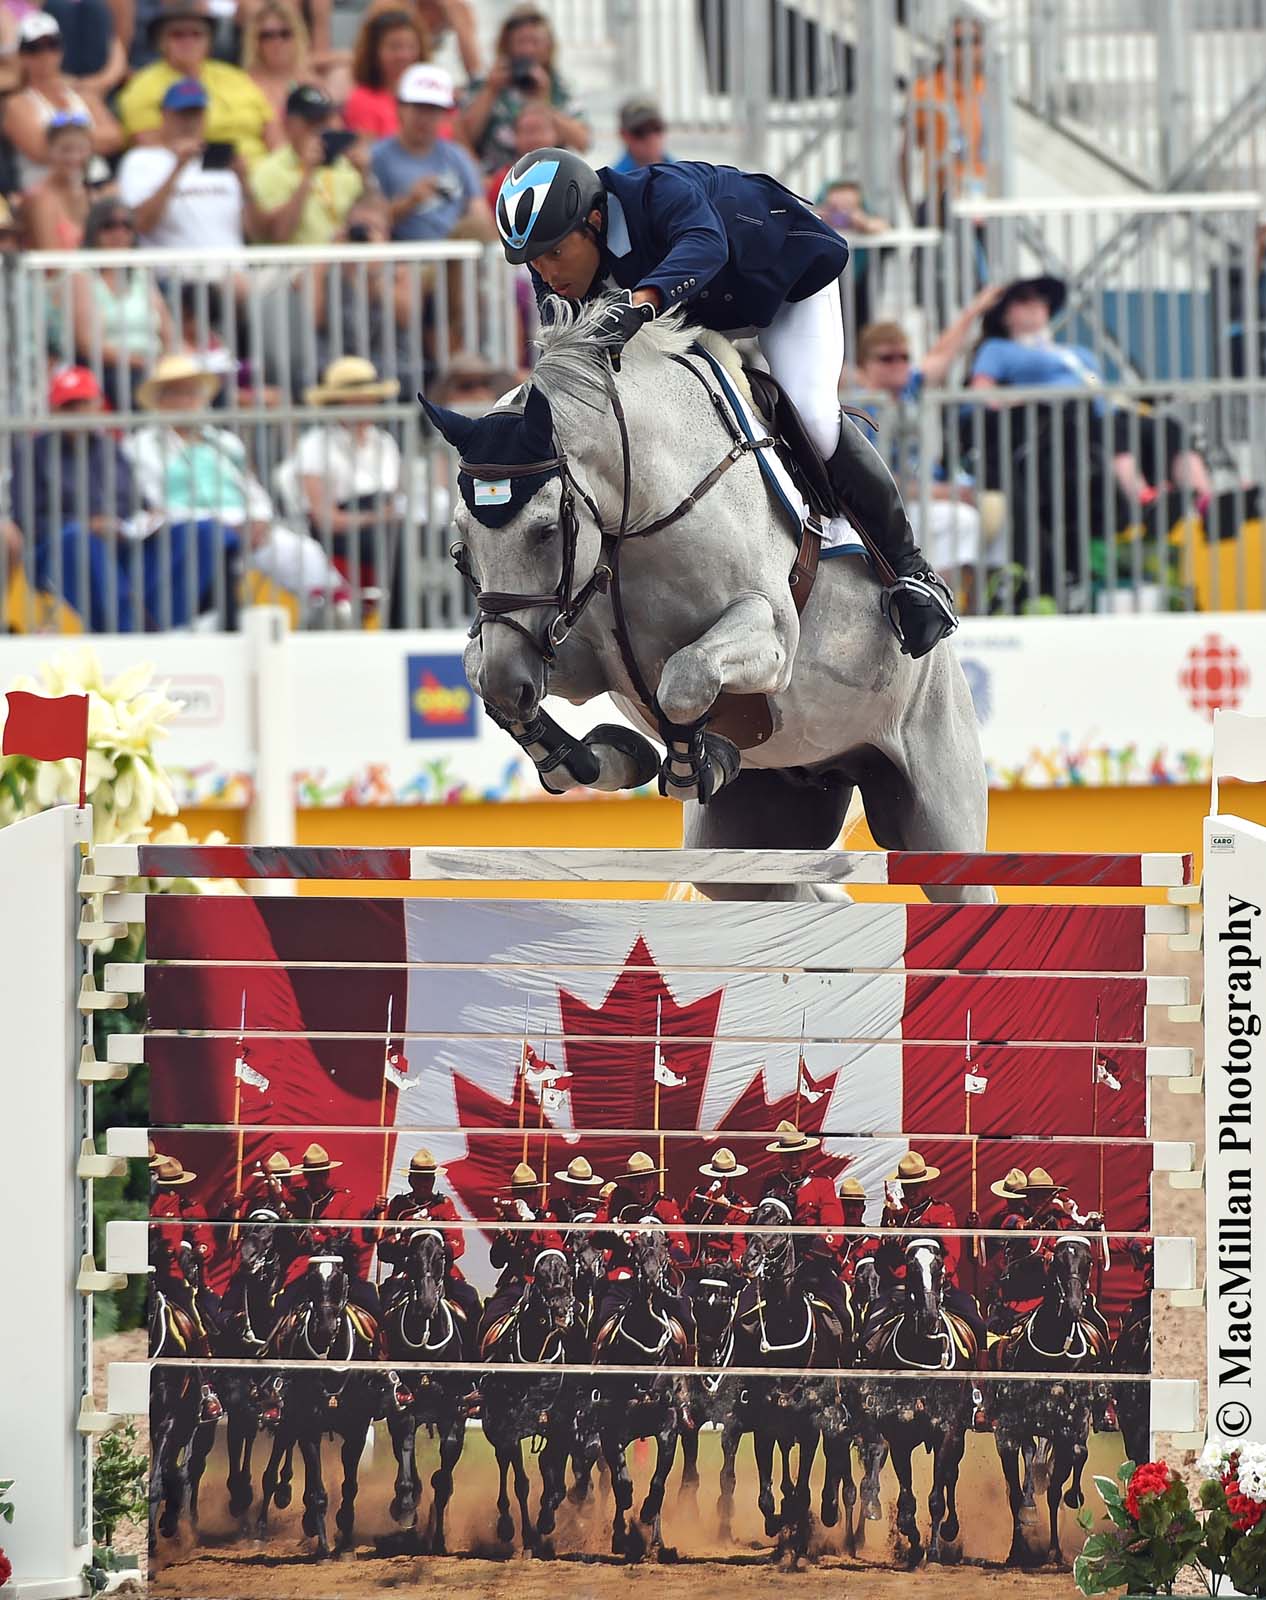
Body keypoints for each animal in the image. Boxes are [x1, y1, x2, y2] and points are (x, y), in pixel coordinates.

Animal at [425, 297, 992, 902]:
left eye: (546, 531)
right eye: (461, 542)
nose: (515, 685)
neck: (645, 509)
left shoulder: (772, 639)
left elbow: (684, 678)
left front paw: (695, 764)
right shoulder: (571, 654)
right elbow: (478, 668)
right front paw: (599, 758)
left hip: (939, 814)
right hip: (757, 834)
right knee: (788, 895)